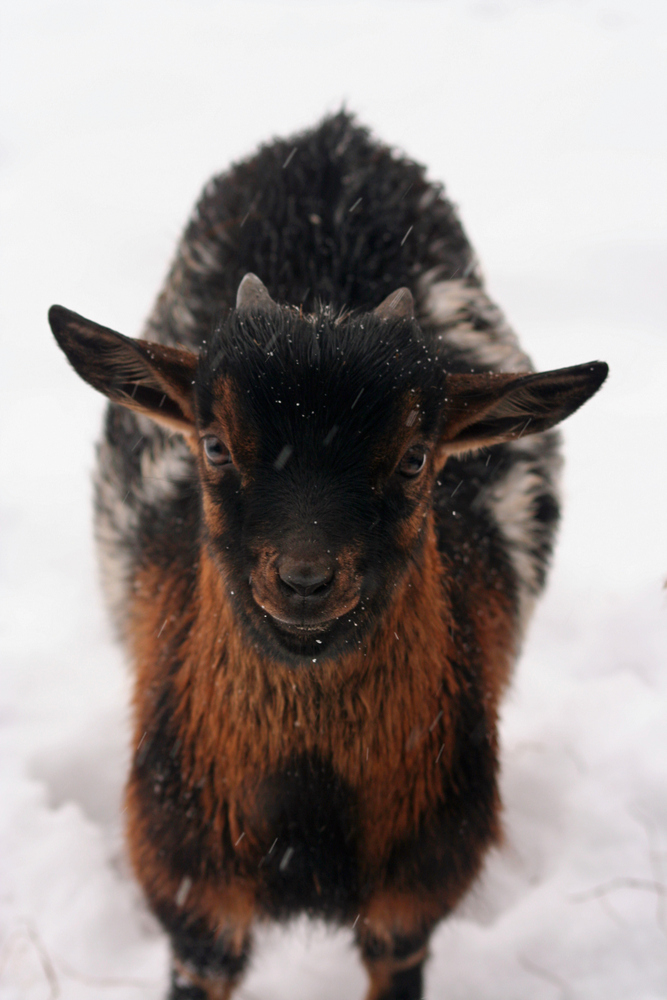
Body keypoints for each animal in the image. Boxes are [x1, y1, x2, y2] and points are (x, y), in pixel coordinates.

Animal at [49, 113, 608, 1000]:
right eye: (214, 443)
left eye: (415, 457)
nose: (304, 578)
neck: (307, 809)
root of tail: (333, 133)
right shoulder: (193, 900)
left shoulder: (411, 905)